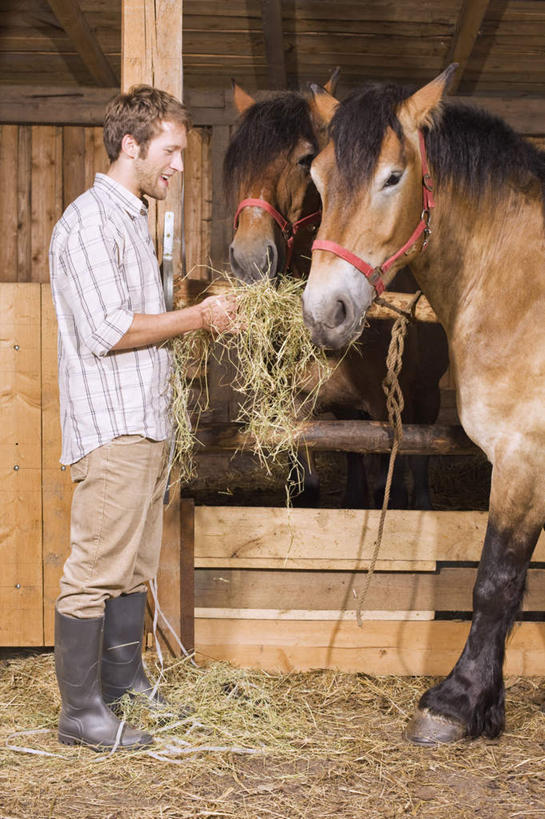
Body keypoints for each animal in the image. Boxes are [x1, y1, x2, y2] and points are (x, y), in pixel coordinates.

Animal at [224, 80, 446, 510]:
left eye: (304, 160)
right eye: (236, 163)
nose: (250, 260)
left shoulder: (384, 408)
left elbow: (391, 480)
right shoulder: (295, 410)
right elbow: (308, 483)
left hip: (425, 396)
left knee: (421, 457)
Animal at [302, 67, 544, 748]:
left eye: (392, 177)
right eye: (317, 177)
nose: (324, 312)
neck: (523, 287)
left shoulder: (525, 457)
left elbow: (496, 580)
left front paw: (456, 703)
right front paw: (485, 703)